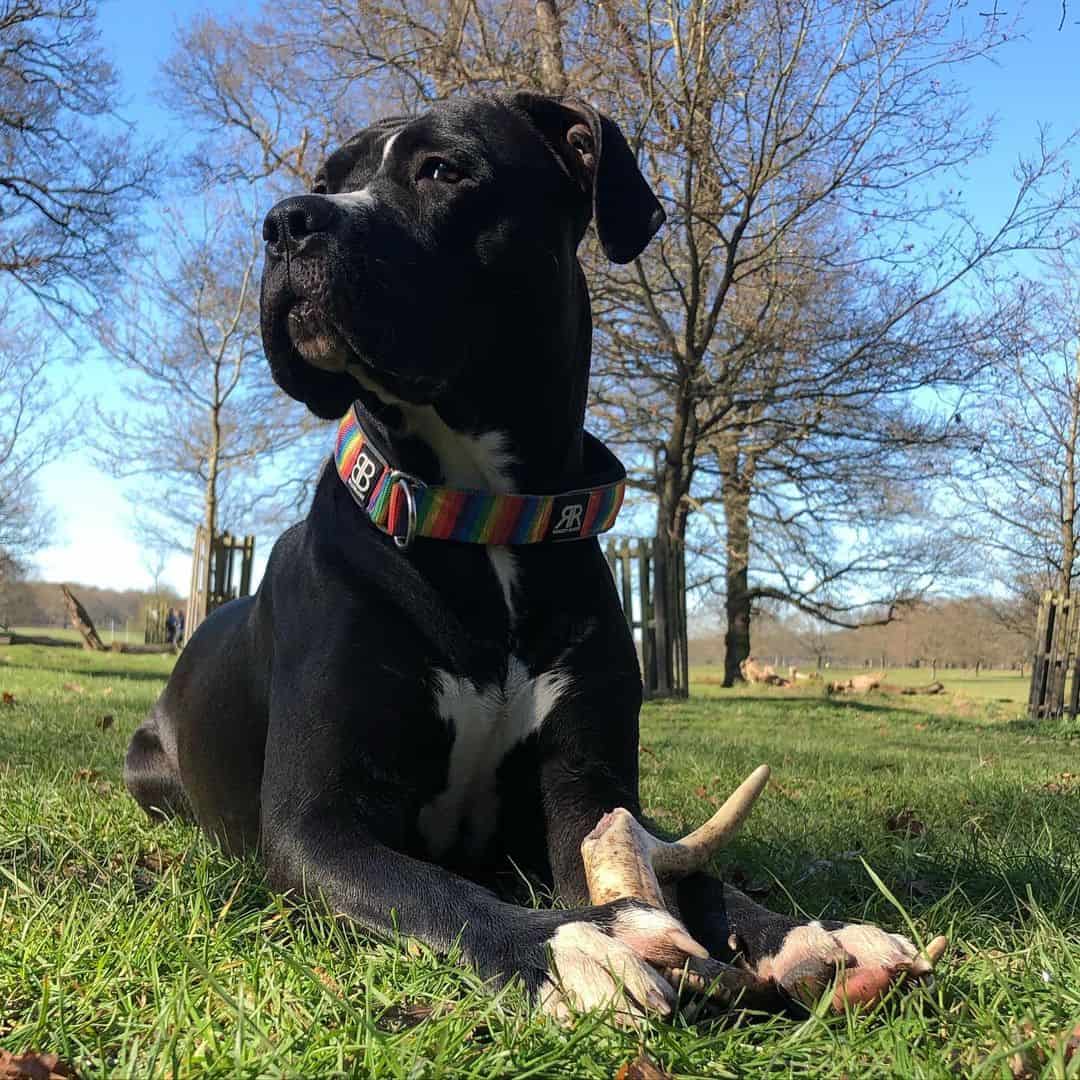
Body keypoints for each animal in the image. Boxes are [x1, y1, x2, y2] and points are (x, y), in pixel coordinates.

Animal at [126, 95, 933, 1019]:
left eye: (444, 170)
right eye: (327, 180)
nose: (288, 221)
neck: (485, 525)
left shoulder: (585, 788)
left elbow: (692, 877)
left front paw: (811, 935)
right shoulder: (315, 822)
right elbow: (435, 890)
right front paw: (569, 944)